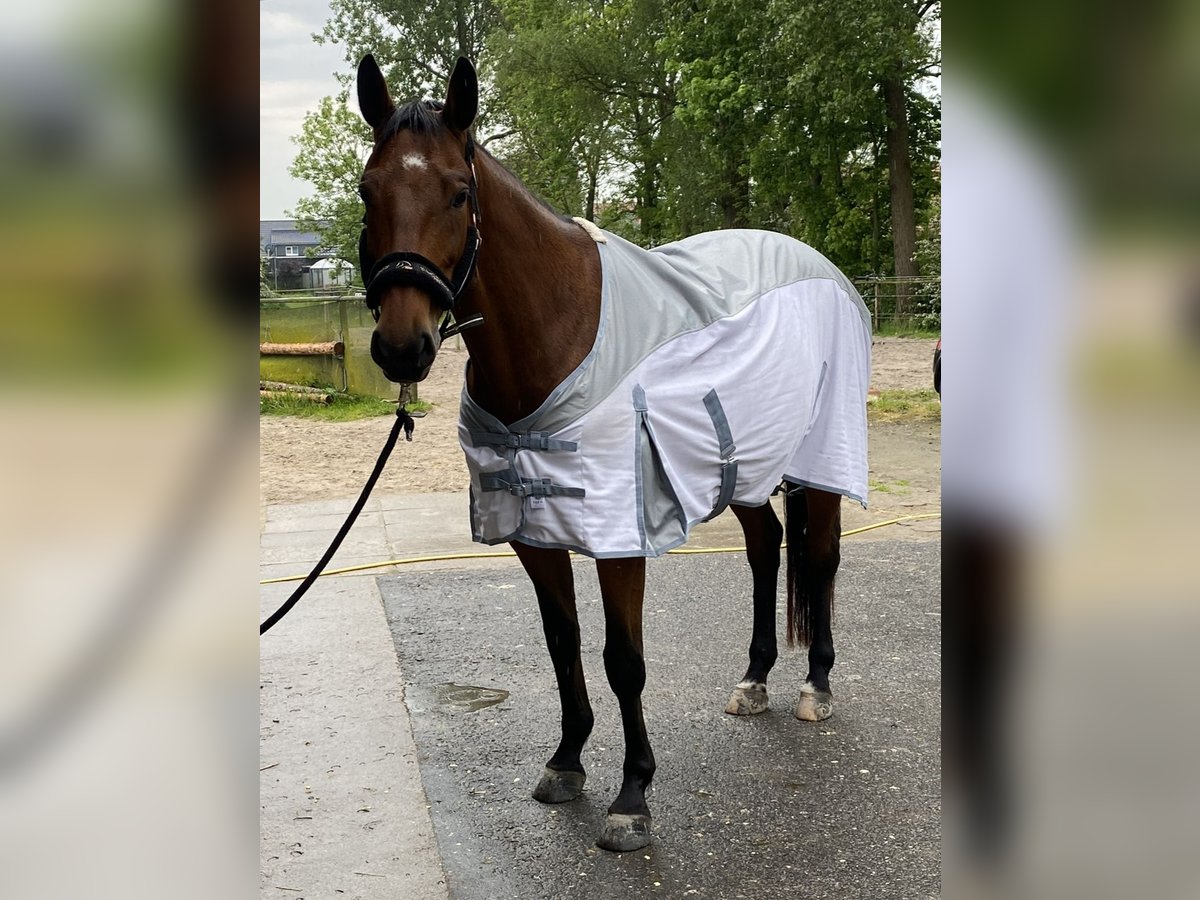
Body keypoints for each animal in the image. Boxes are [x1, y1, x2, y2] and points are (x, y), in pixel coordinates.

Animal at [355, 54, 873, 854]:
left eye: (458, 193)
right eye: (367, 190)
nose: (401, 347)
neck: (559, 331)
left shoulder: (620, 536)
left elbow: (622, 660)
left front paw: (633, 797)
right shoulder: (534, 533)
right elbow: (562, 641)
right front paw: (568, 760)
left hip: (819, 463)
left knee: (819, 560)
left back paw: (815, 685)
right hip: (744, 471)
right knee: (766, 551)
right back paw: (754, 679)